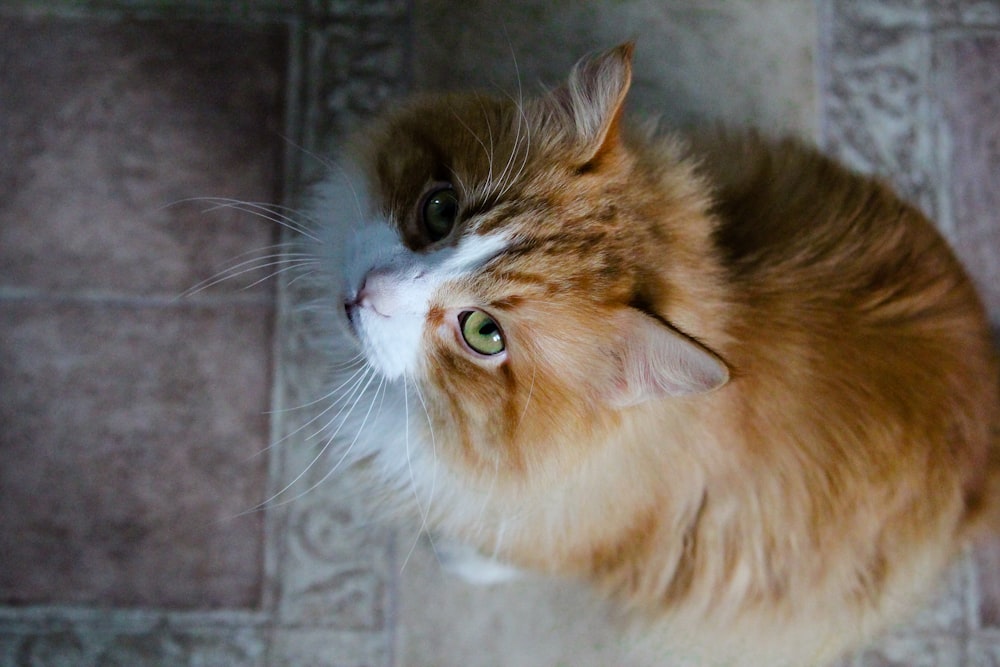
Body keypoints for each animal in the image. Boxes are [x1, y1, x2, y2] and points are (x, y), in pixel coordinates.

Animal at [296, 43, 1000, 667]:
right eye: (439, 209)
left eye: (484, 333)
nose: (366, 292)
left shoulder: (581, 528)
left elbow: (506, 547)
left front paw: (460, 555)